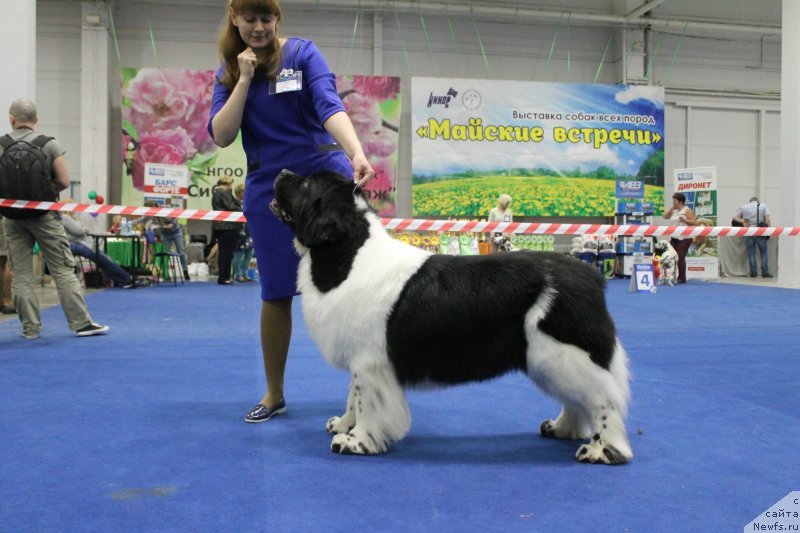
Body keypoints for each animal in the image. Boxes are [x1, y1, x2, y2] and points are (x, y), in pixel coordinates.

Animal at [272, 168, 636, 464]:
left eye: (306, 183)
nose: (282, 172)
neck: (347, 253)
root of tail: (591, 276)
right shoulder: (360, 357)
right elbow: (353, 396)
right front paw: (343, 426)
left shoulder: (369, 361)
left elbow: (366, 402)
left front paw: (356, 441)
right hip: (551, 358)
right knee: (579, 399)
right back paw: (561, 428)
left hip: (564, 354)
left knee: (604, 400)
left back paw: (603, 450)